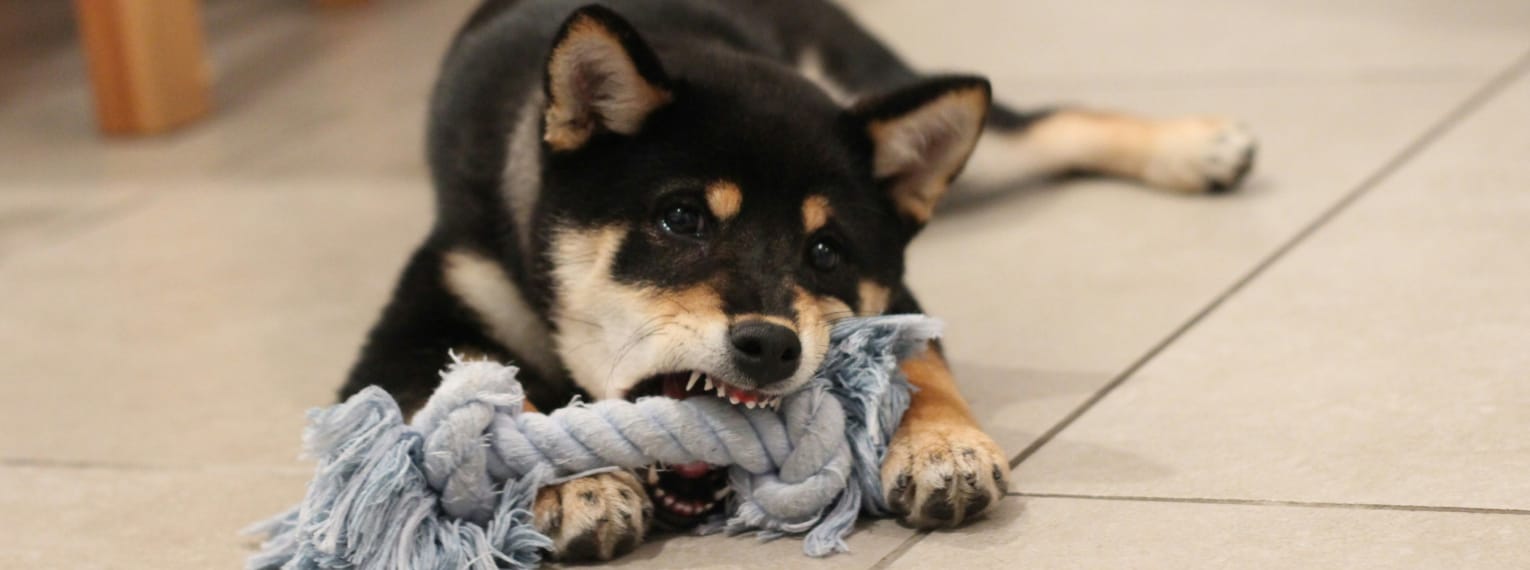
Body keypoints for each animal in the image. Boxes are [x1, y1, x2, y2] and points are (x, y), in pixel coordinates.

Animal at [338, 0, 1254, 559]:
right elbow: (490, 403)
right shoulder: (414, 326)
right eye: (681, 219)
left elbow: (919, 367)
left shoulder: (892, 297)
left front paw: (944, 447)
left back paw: (1198, 146)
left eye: (825, 251)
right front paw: (573, 482)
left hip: (883, 89)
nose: (771, 347)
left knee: (1048, 124)